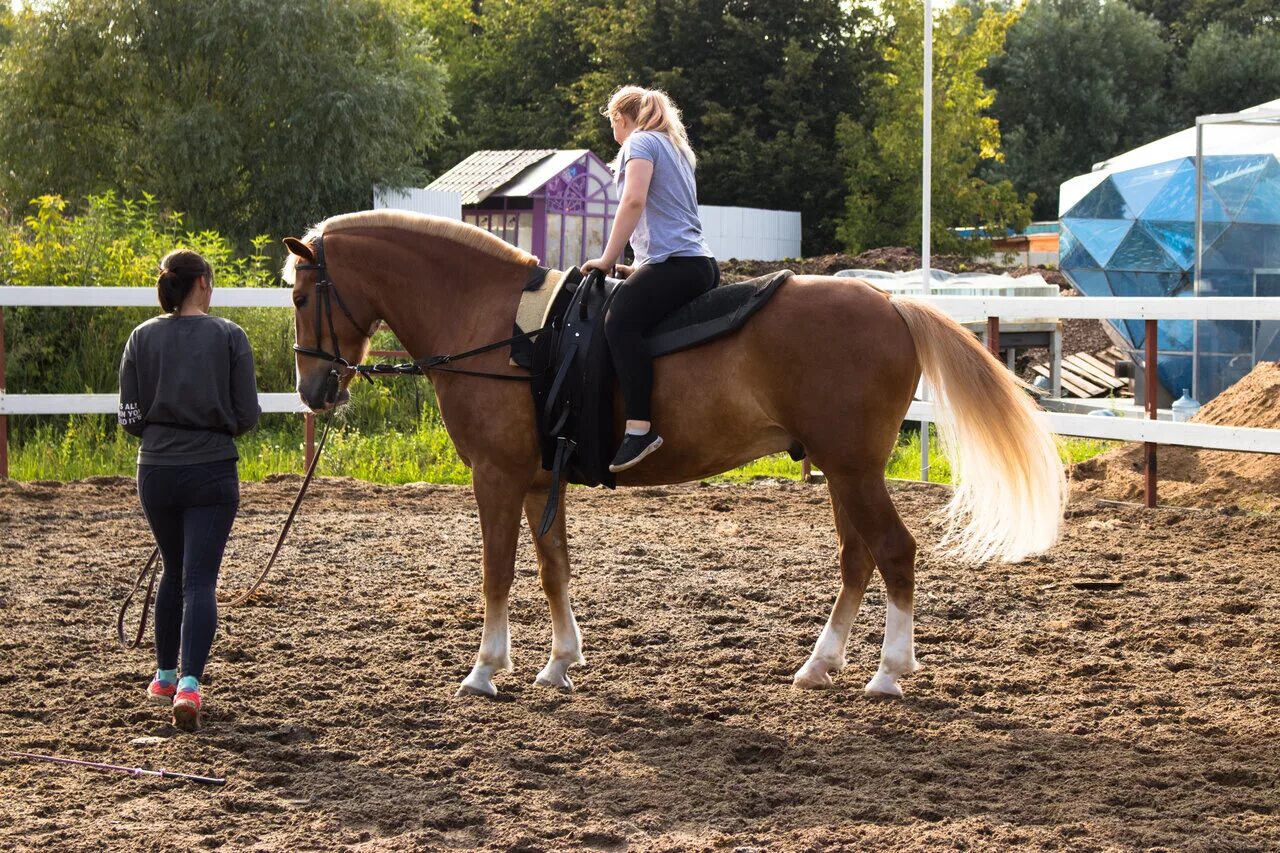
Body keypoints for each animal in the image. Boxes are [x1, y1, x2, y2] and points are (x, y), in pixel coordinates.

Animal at [282, 207, 1070, 696]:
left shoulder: (496, 477)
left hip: (853, 470)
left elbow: (497, 572)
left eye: (299, 296)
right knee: (858, 558)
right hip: (845, 473)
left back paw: (887, 671)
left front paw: (485, 670)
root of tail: (891, 305)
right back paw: (820, 665)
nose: (313, 389)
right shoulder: (538, 480)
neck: (502, 328)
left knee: (894, 552)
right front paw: (559, 663)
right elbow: (553, 569)